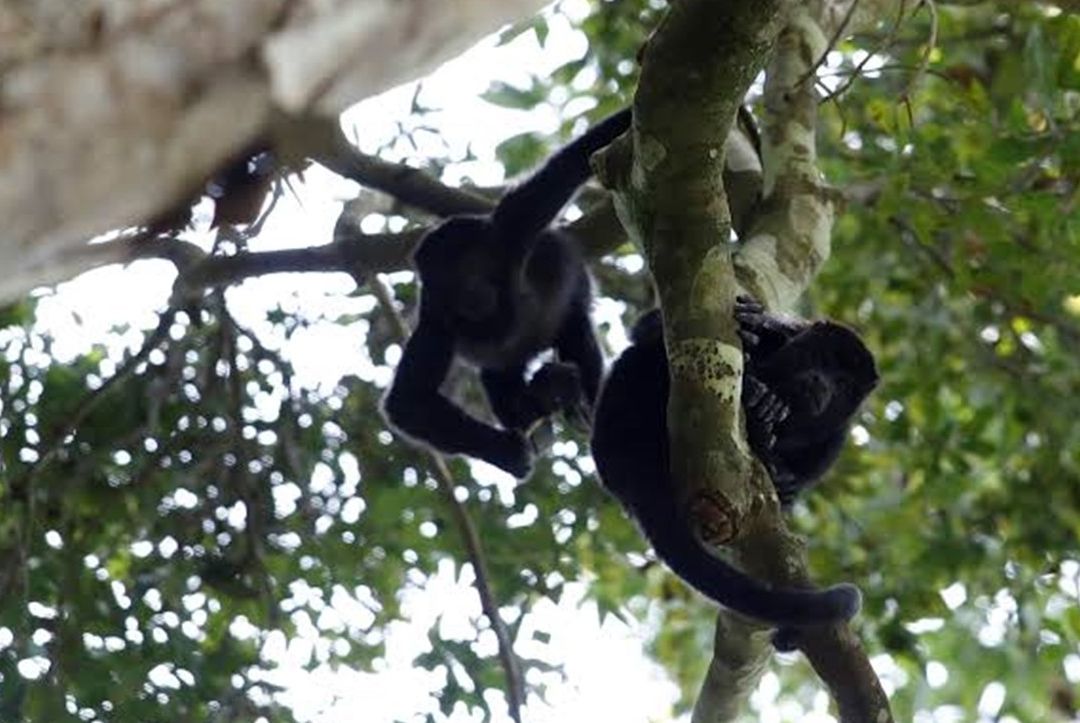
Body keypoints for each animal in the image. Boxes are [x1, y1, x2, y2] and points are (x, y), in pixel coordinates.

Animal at [383, 108, 632, 478]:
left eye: (466, 268)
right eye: (442, 283)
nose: (466, 295)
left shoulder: (511, 229)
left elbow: (570, 164)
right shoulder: (435, 317)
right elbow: (407, 402)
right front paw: (506, 452)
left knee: (577, 333)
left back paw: (580, 404)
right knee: (499, 378)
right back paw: (542, 397)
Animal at [588, 299, 877, 626]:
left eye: (842, 384)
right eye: (821, 358)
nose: (820, 382)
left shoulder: (837, 435)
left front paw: (783, 477)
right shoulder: (788, 332)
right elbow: (648, 326)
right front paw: (757, 323)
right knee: (642, 357)